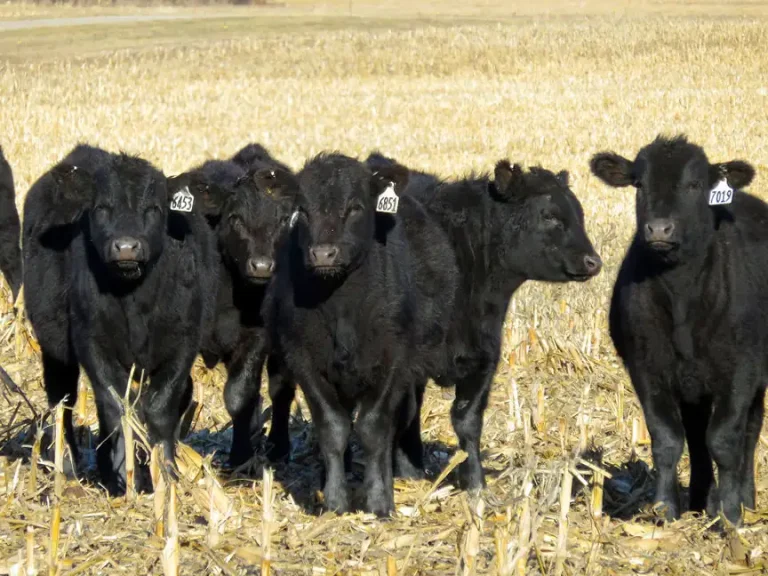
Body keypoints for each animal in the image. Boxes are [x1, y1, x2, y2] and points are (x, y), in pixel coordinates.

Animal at [23, 144, 218, 495]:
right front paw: (125, 478)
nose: (126, 247)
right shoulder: (91, 343)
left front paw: (165, 474)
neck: (134, 298)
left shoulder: (183, 344)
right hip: (55, 349)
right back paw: (68, 464)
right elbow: (118, 408)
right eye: (101, 208)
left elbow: (159, 409)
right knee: (63, 400)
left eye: (154, 208)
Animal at [175, 145, 297, 467]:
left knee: (280, 390)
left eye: (282, 220)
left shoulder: (256, 337)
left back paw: (278, 447)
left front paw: (241, 460)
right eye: (236, 219)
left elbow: (239, 395)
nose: (262, 266)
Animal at [265, 153, 458, 516]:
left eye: (354, 207)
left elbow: (374, 428)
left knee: (404, 417)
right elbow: (333, 428)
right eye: (303, 209)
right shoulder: (305, 360)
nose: (323, 253)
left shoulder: (393, 362)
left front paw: (379, 500)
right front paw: (335, 500)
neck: (342, 308)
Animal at [363, 152, 603, 492]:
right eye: (549, 216)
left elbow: (467, 420)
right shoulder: (403, 364)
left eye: (578, 214)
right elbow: (404, 413)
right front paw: (407, 473)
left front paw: (475, 483)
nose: (593, 262)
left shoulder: (485, 356)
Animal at [590, 134, 765, 525]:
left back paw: (744, 500)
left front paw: (731, 515)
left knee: (749, 432)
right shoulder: (646, 367)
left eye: (694, 184)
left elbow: (726, 440)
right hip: (692, 385)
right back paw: (701, 500)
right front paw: (665, 510)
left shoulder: (741, 371)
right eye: (639, 184)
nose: (659, 229)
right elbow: (667, 438)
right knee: (697, 437)